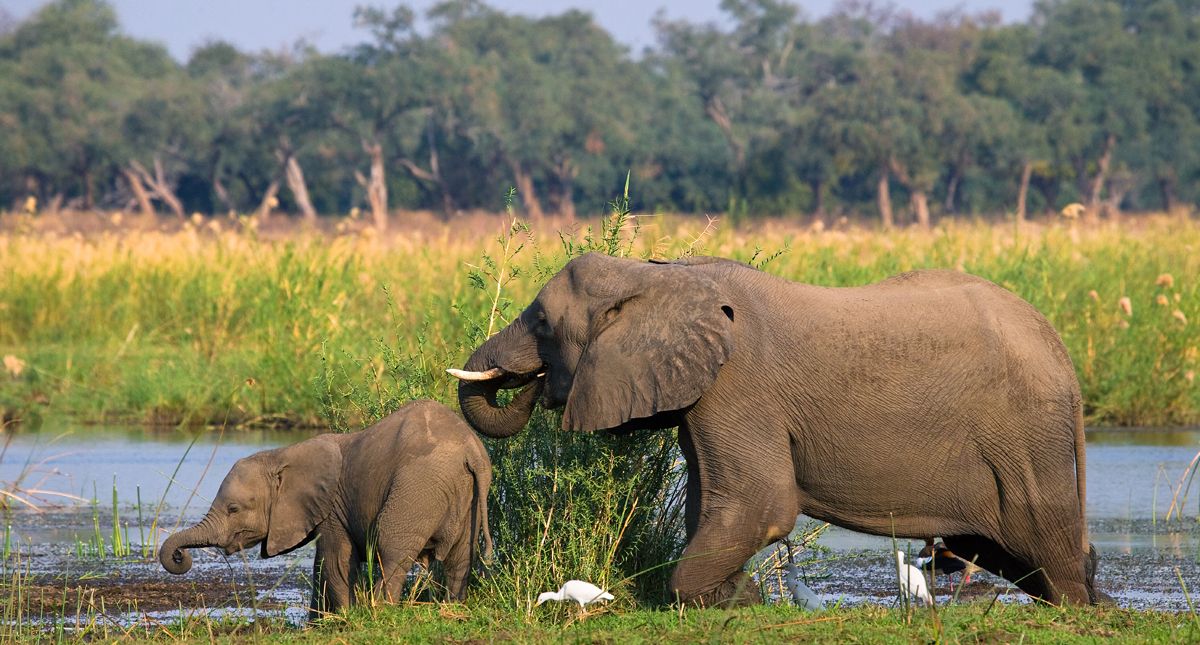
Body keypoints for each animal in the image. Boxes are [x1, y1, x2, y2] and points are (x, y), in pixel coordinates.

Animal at [158, 398, 492, 613]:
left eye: (233, 509)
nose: (179, 557)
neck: (282, 454)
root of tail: (471, 451)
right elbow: (321, 564)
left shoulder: (331, 507)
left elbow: (336, 561)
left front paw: (345, 619)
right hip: (468, 497)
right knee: (460, 557)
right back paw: (452, 607)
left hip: (418, 488)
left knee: (391, 549)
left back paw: (380, 611)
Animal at [448, 252, 1099, 604]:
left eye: (540, 320)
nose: (531, 383)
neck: (659, 275)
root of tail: (1062, 352)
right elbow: (711, 501)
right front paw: (739, 597)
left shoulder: (738, 385)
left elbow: (759, 503)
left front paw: (730, 598)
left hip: (1026, 435)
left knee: (1045, 538)